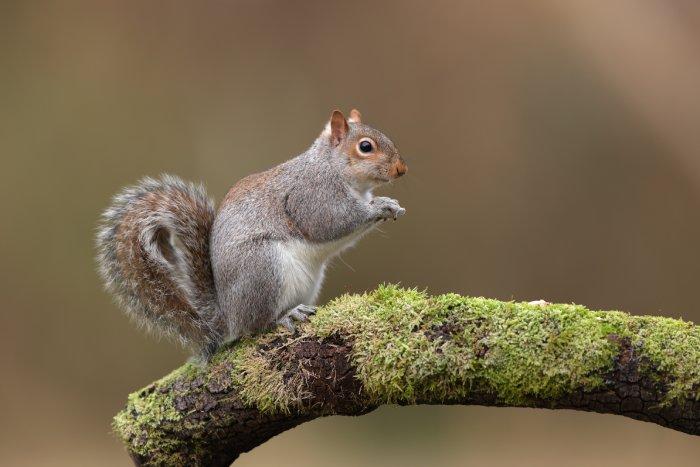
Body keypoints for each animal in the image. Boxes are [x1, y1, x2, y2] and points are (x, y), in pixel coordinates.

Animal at [95, 109, 408, 358]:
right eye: (365, 147)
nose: (401, 169)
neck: (331, 166)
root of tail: (228, 315)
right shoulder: (310, 195)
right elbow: (330, 223)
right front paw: (379, 206)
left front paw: (390, 205)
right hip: (264, 268)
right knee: (256, 325)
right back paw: (285, 316)